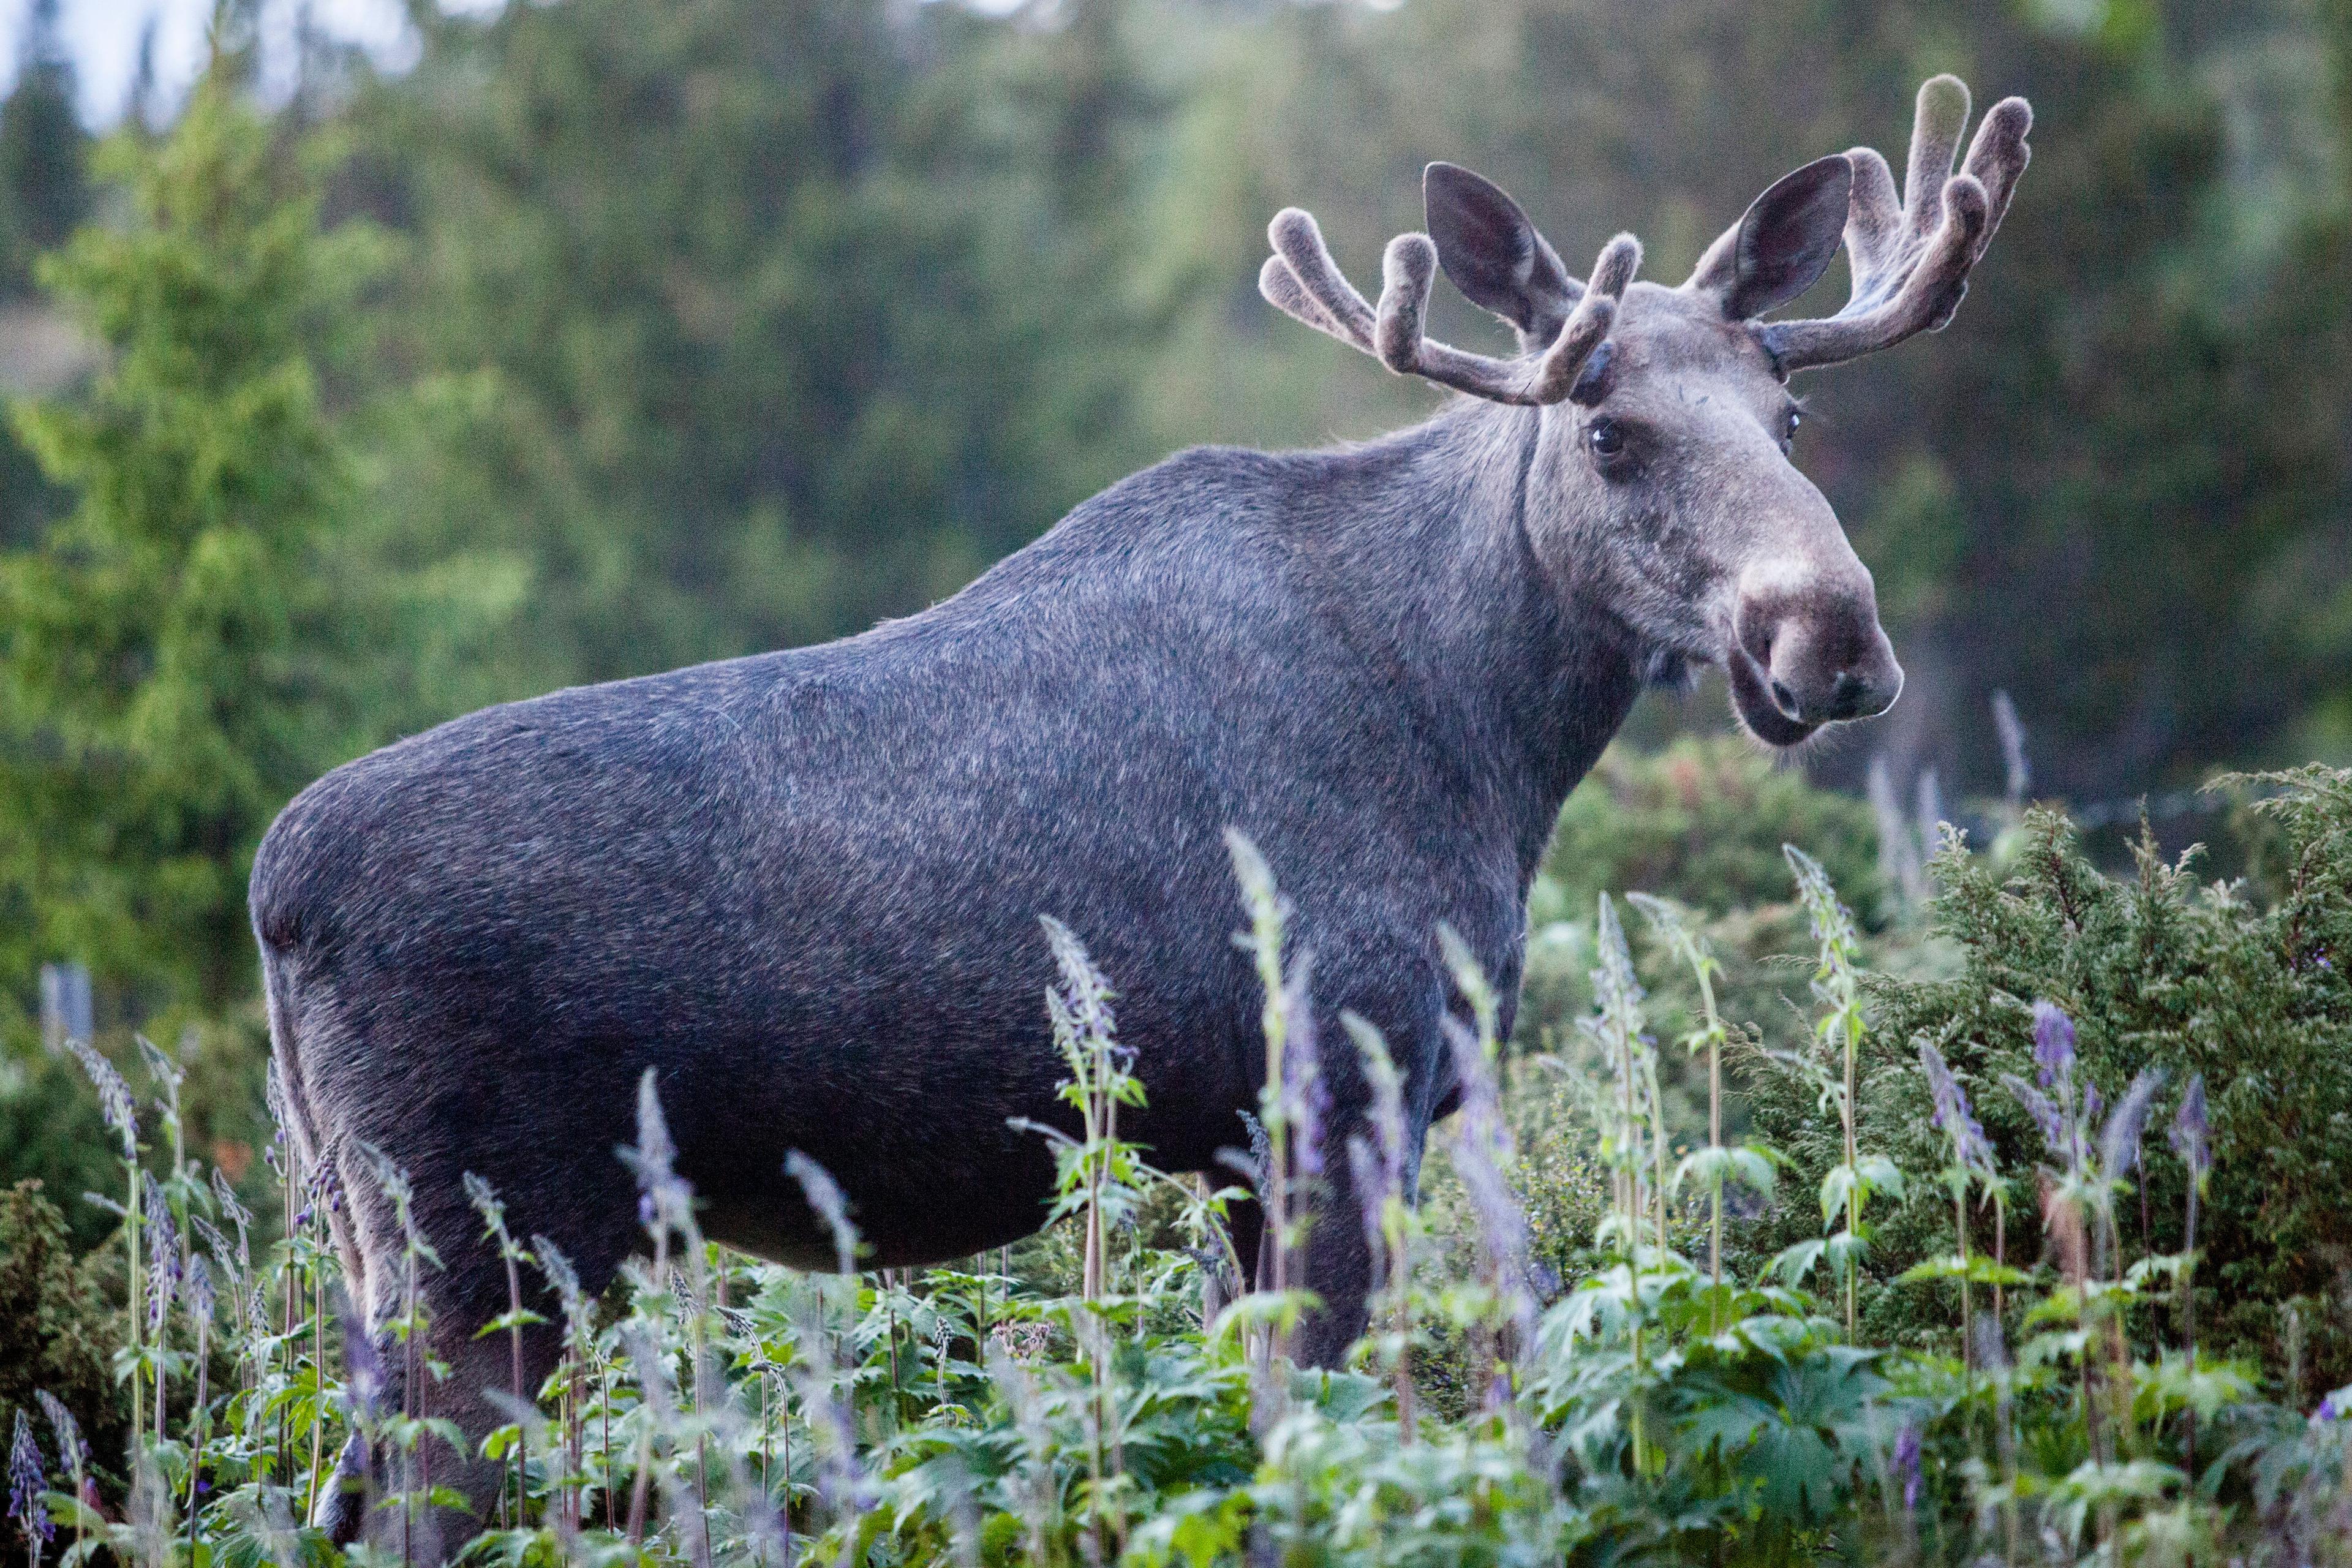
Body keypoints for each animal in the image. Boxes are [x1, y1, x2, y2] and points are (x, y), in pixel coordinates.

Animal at [252, 76, 2022, 1542]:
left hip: (375, 1250)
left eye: (1790, 417)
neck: (1490, 736)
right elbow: (1319, 1422)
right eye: (1608, 429)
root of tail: (276, 899)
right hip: (479, 1252)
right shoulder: (1333, 1088)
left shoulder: (1243, 1141)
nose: (1827, 634)